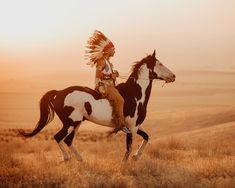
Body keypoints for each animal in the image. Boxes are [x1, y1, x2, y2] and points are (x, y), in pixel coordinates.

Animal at [19, 50, 175, 162]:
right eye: (160, 64)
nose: (173, 76)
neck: (135, 94)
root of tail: (58, 93)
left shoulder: (136, 126)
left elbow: (147, 137)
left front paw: (136, 157)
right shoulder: (131, 127)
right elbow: (128, 148)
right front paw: (125, 164)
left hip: (76, 123)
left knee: (68, 140)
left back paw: (81, 160)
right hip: (70, 123)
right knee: (58, 137)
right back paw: (67, 158)